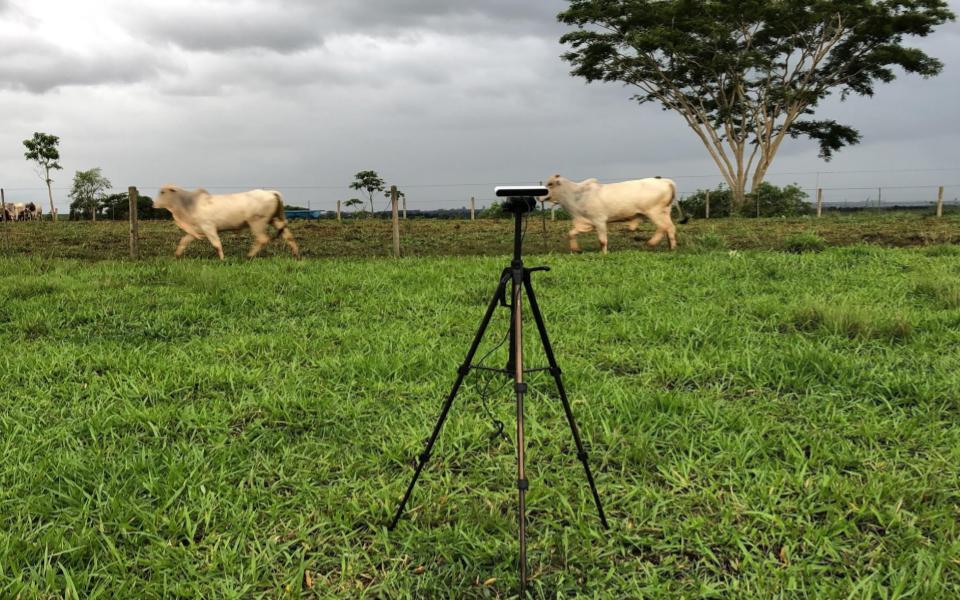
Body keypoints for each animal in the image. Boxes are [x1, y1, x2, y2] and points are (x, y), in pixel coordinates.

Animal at [153, 185, 300, 260]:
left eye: (162, 192)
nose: (153, 204)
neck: (189, 204)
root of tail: (271, 192)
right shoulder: (197, 230)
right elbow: (184, 241)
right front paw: (177, 255)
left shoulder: (209, 228)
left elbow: (216, 244)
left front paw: (222, 259)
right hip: (273, 220)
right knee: (288, 236)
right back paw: (296, 254)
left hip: (257, 222)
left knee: (262, 239)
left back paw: (249, 256)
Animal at [548, 176, 684, 255]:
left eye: (550, 184)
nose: (541, 195)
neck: (577, 195)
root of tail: (666, 181)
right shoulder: (585, 222)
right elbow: (571, 233)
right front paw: (576, 249)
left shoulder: (599, 221)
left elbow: (602, 240)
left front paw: (604, 254)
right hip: (665, 212)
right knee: (670, 228)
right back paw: (671, 247)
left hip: (655, 212)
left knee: (664, 227)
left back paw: (652, 243)